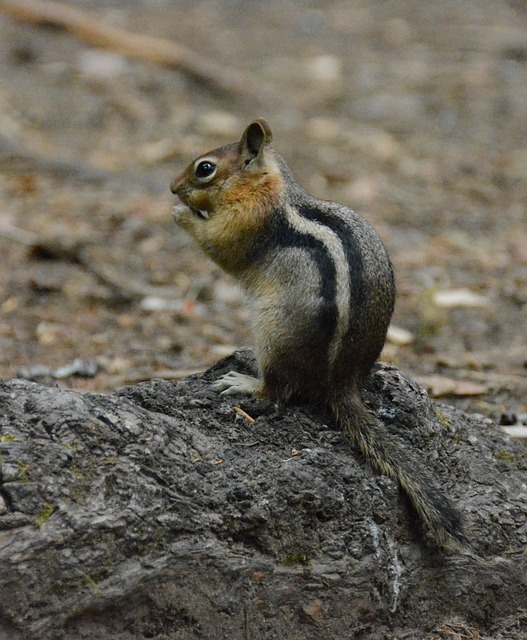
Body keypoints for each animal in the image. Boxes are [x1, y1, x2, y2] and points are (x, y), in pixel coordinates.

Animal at [170, 117, 466, 548]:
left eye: (204, 168)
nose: (172, 187)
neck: (270, 190)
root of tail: (341, 384)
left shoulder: (247, 223)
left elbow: (220, 244)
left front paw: (181, 214)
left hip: (273, 332)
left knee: (277, 391)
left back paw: (245, 382)